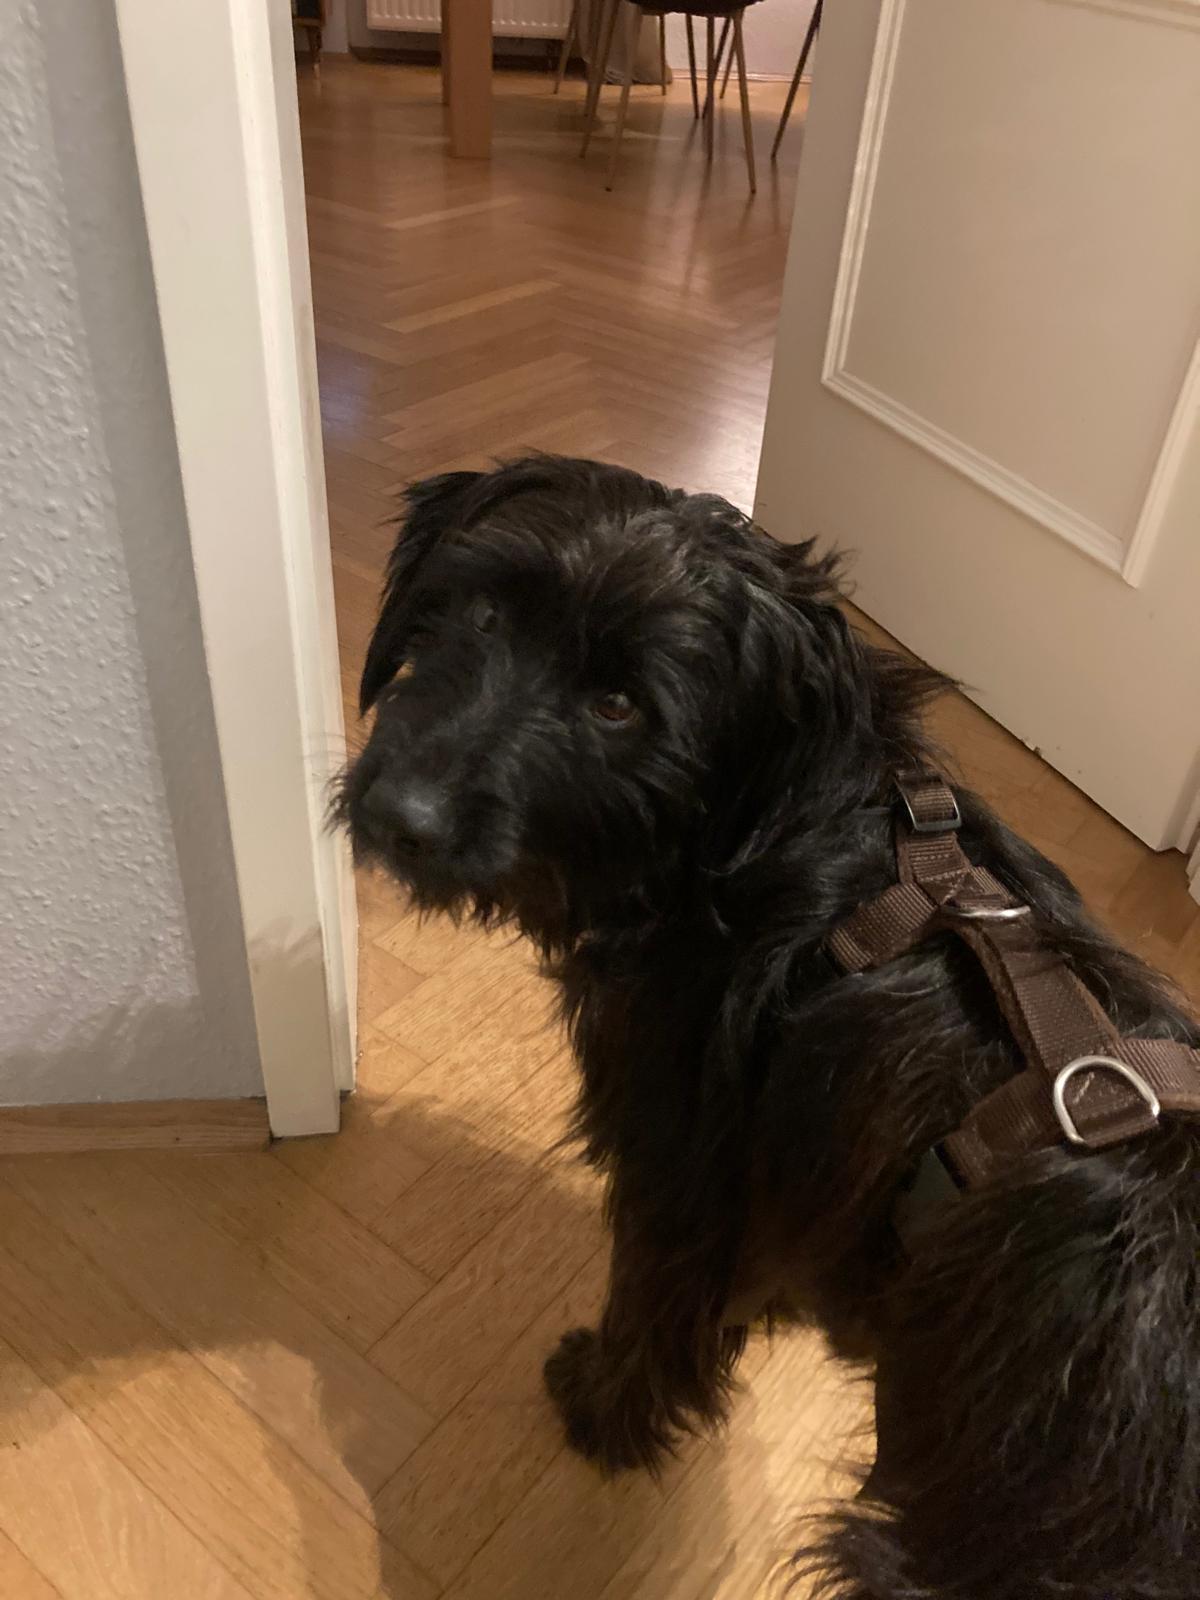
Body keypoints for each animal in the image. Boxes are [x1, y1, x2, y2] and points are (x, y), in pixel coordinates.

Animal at [336, 454, 1200, 1600]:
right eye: (480, 613)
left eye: (618, 706)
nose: (403, 818)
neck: (772, 838)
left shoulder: (677, 1182)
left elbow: (652, 1311)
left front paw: (602, 1406)